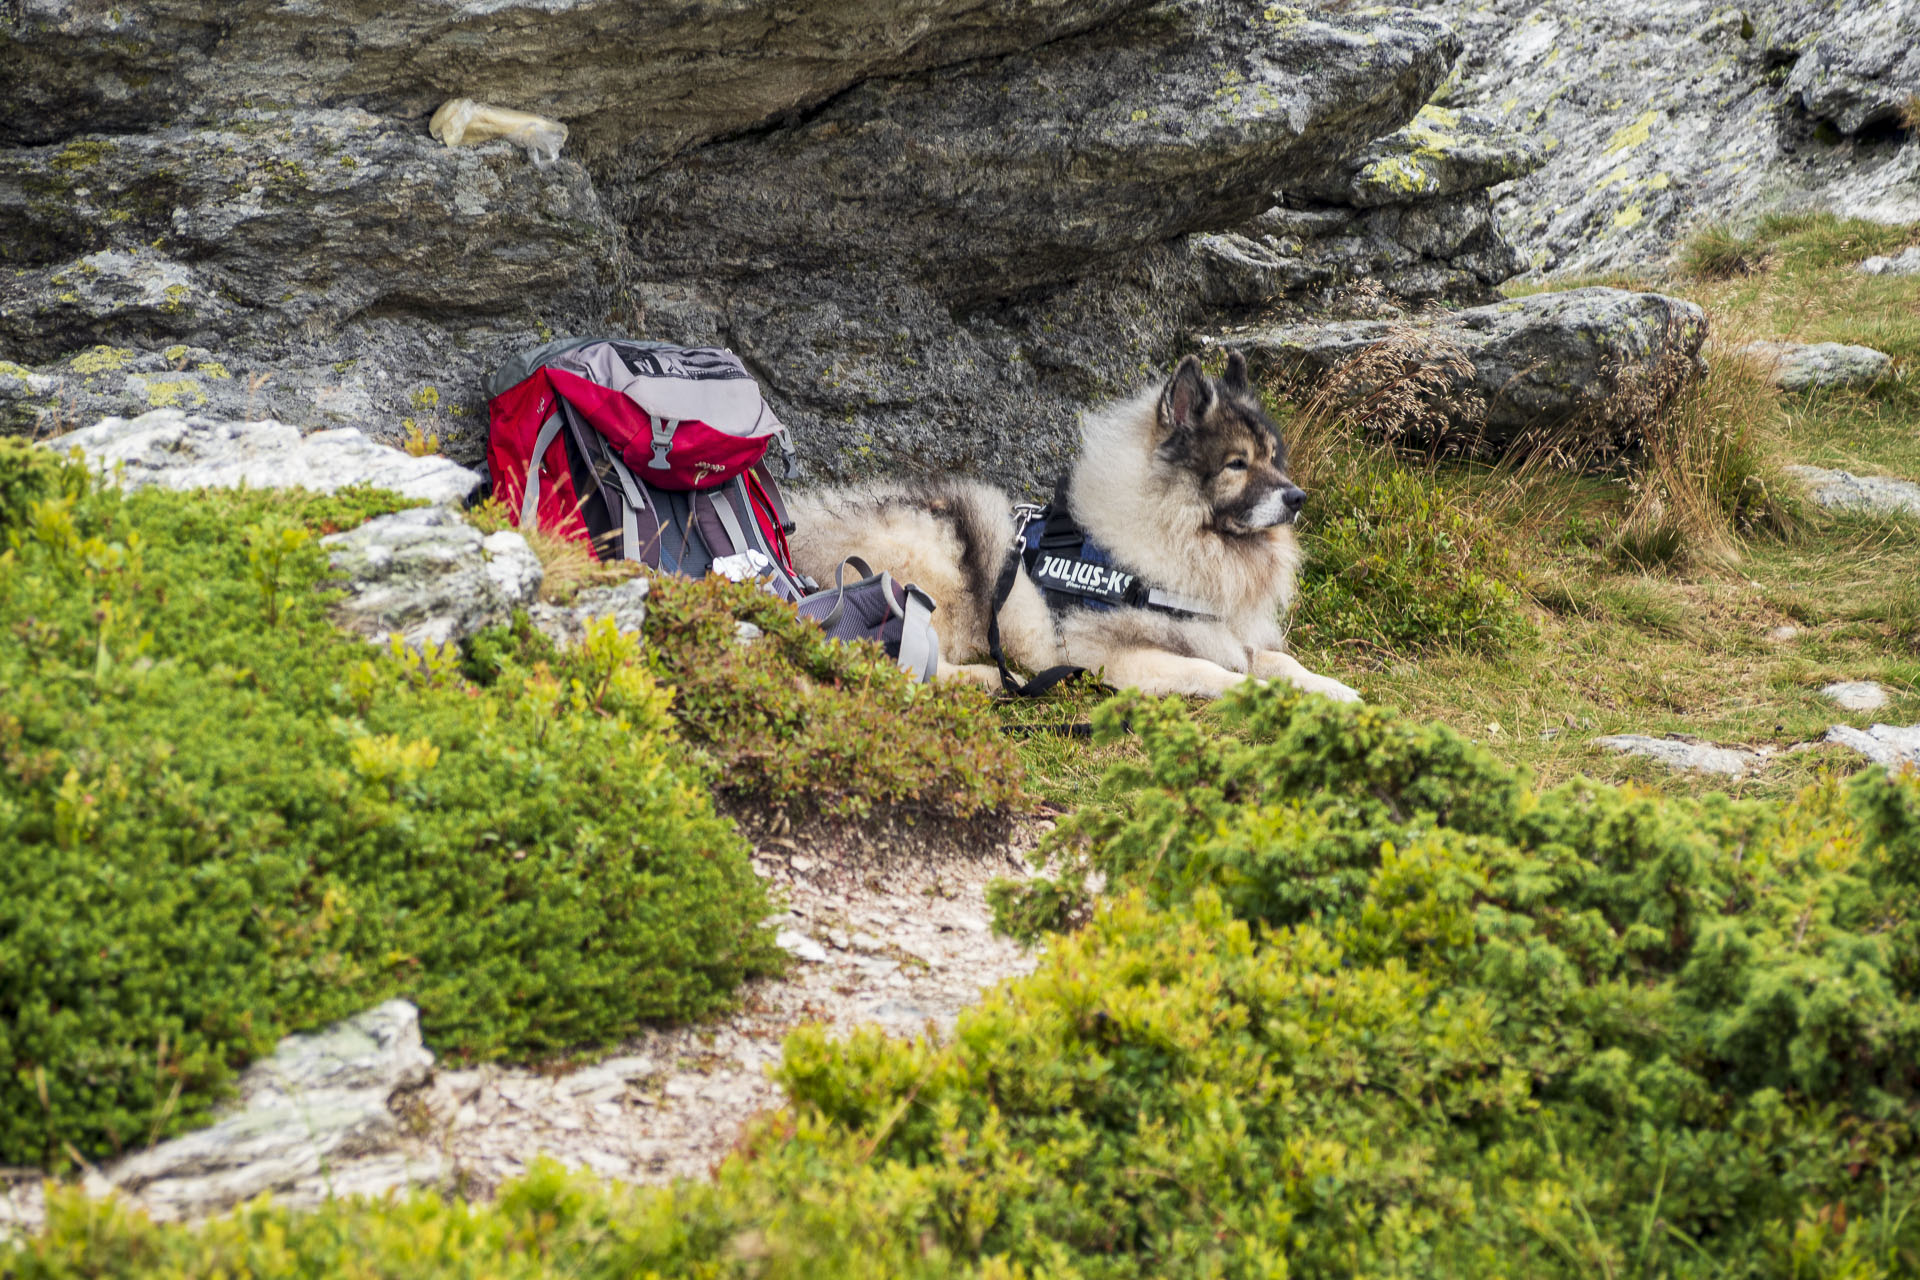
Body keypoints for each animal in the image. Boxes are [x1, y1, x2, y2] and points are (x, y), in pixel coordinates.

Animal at [787, 353, 1359, 702]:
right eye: (1236, 464)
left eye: (1273, 459)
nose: (1297, 498)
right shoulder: (1109, 656)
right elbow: (1215, 673)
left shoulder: (1220, 634)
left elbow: (1279, 661)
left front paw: (1333, 690)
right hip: (929, 567)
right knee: (912, 659)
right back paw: (990, 677)